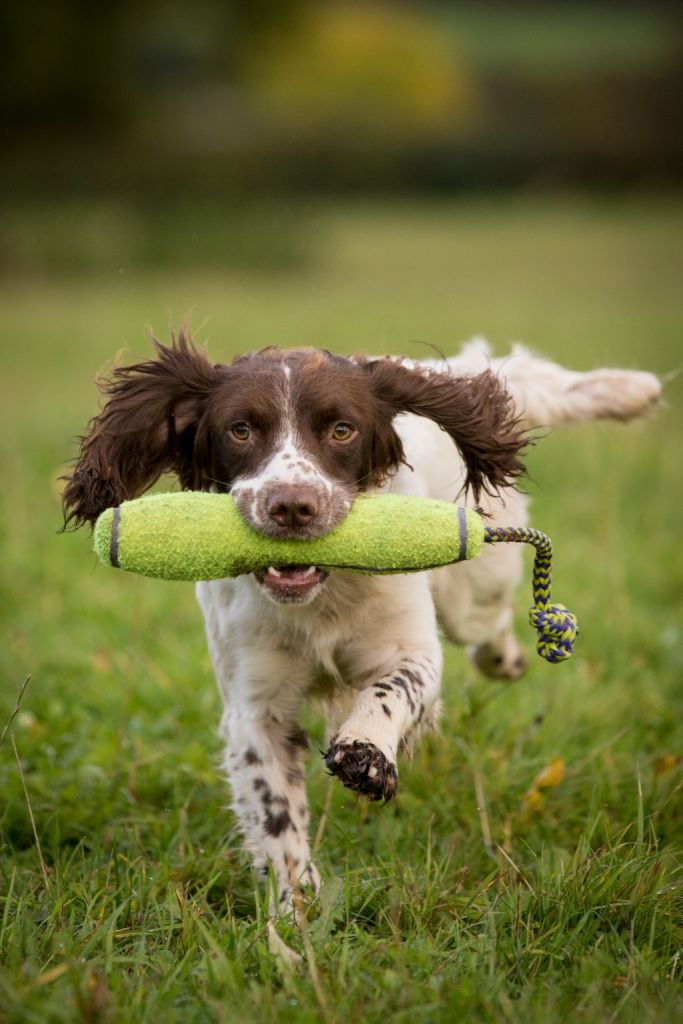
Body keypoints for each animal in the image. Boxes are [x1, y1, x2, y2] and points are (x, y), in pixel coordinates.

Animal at [61, 333, 659, 913]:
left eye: (342, 430)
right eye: (241, 429)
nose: (292, 506)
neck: (320, 594)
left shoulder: (411, 649)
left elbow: (392, 689)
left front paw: (365, 752)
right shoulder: (254, 707)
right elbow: (275, 814)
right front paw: (295, 913)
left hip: (477, 589)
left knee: (486, 627)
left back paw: (505, 656)